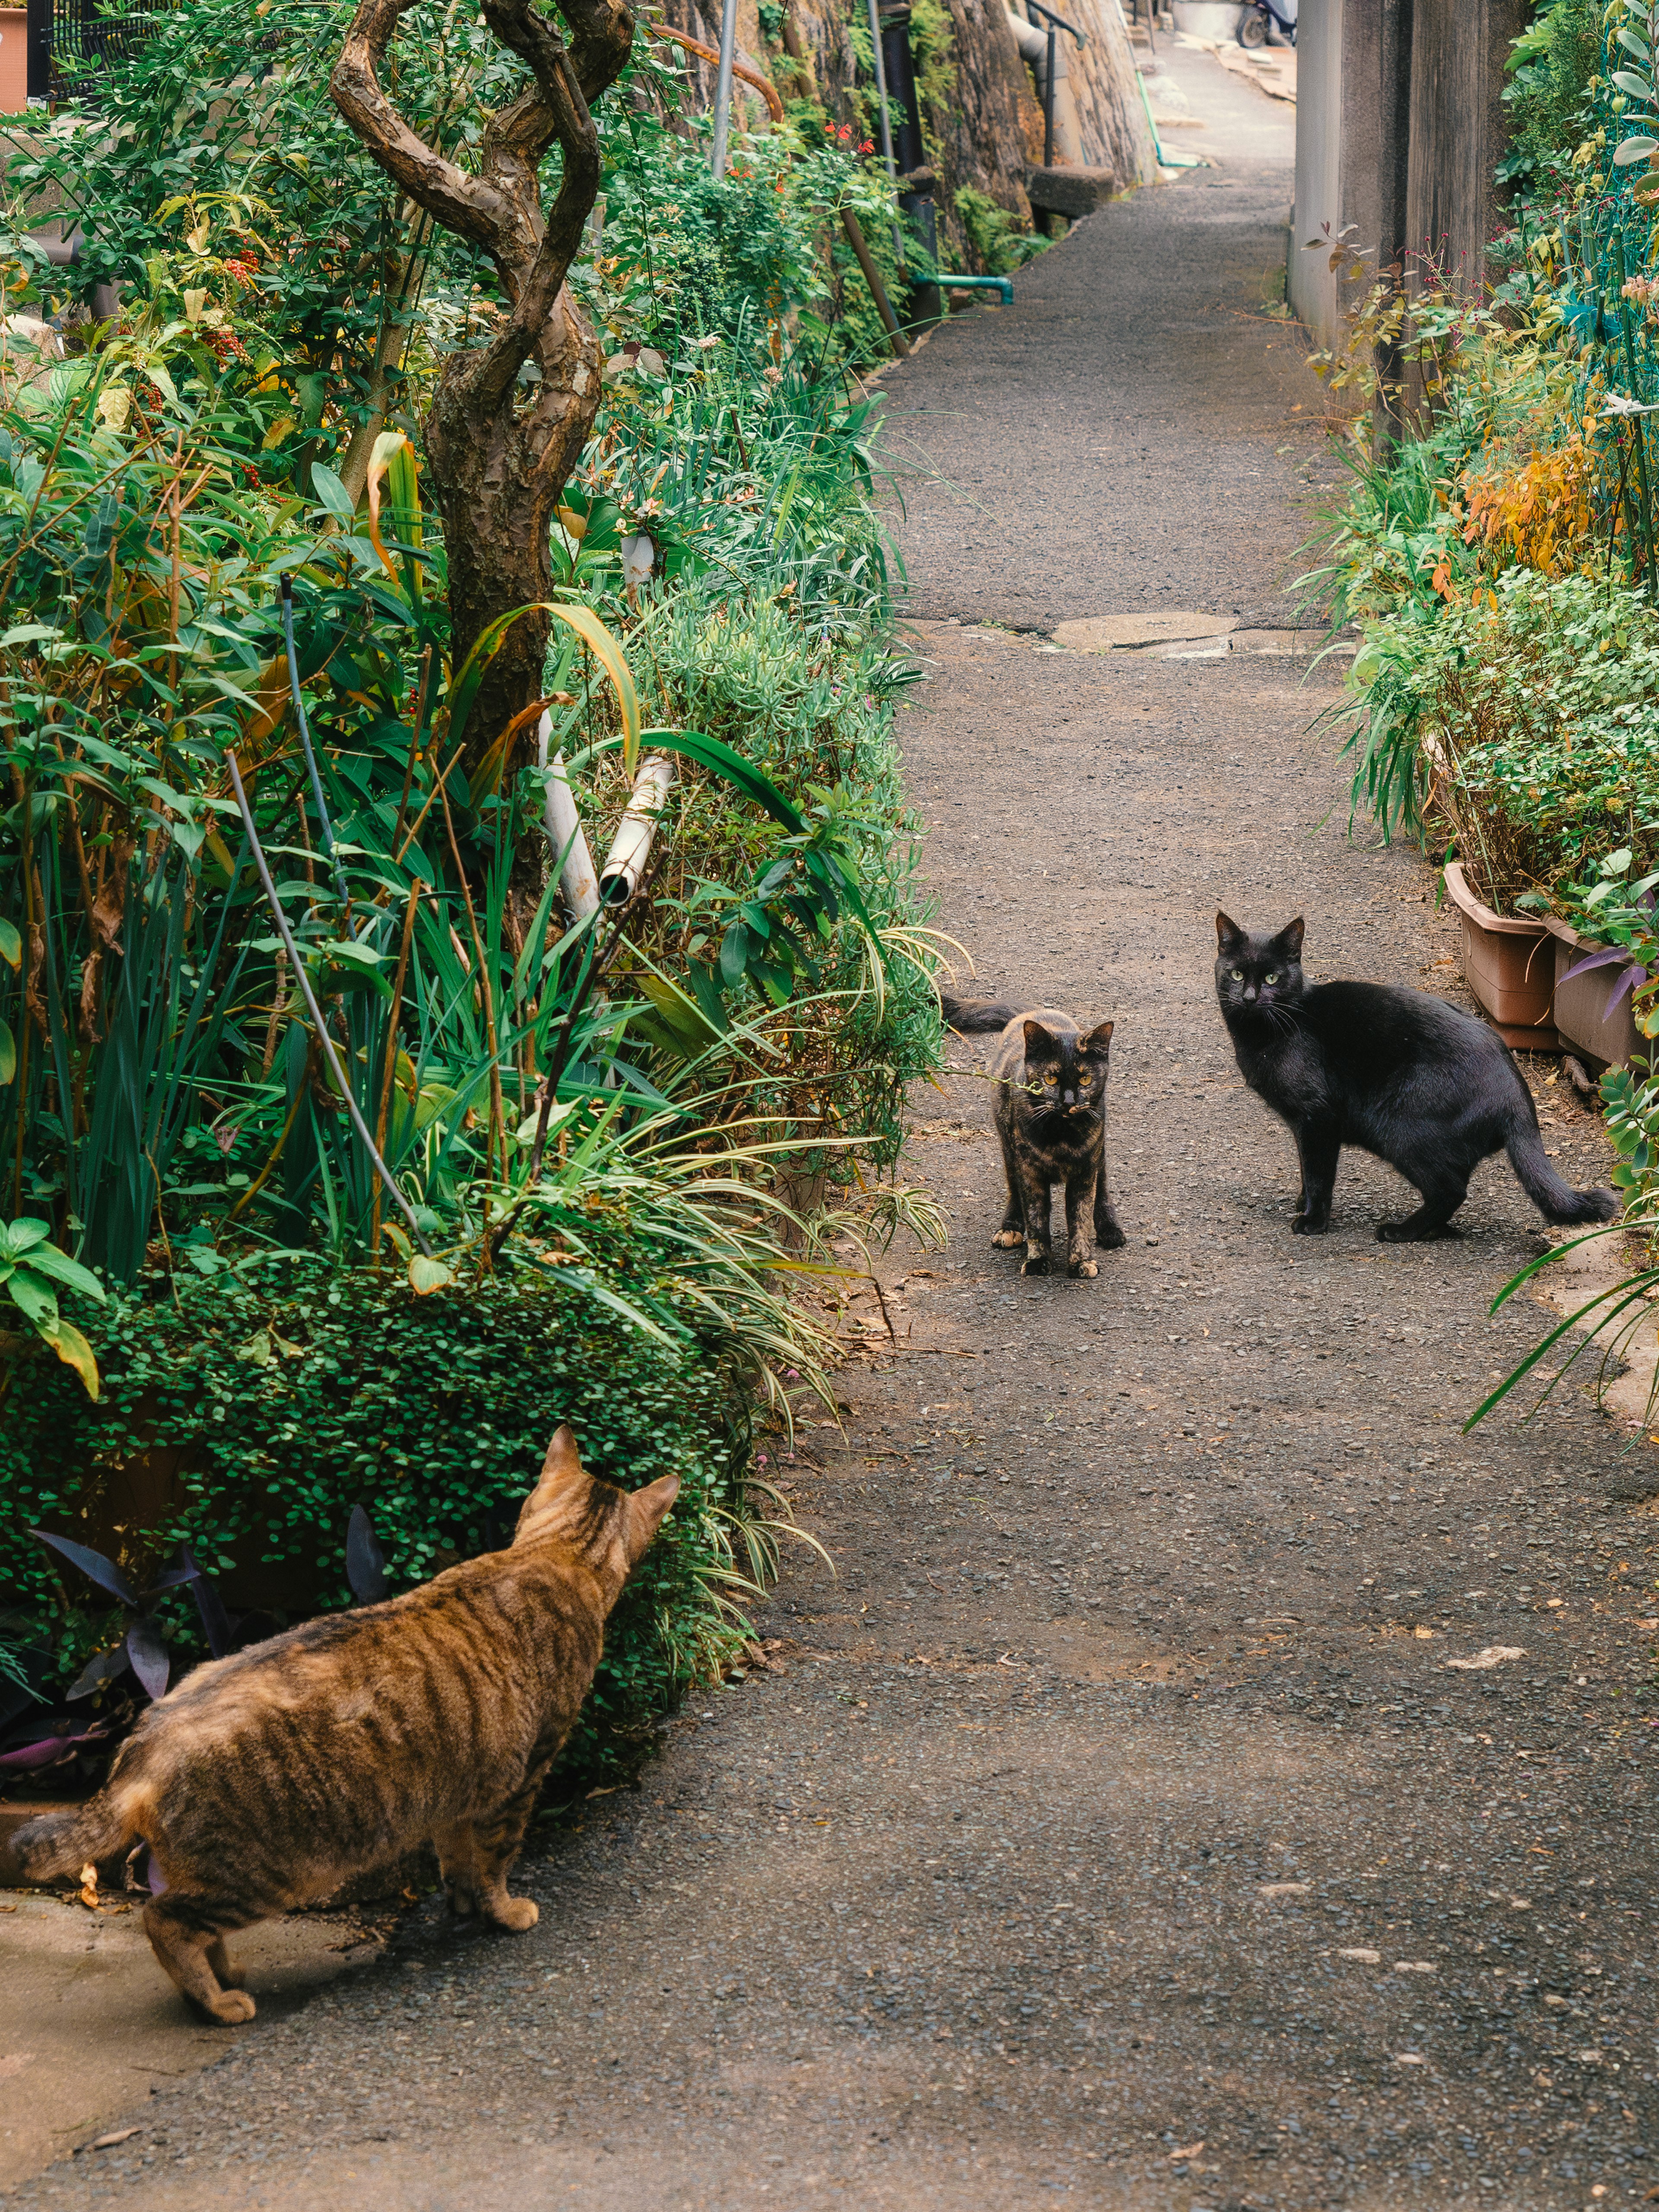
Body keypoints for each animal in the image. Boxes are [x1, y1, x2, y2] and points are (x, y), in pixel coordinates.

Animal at [11, 1433, 677, 2026]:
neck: (557, 1553)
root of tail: (142, 1746)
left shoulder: (462, 1791)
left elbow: (457, 1859)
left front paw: (463, 1905)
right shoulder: (521, 1780)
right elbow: (495, 1861)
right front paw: (505, 1913)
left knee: (183, 1920)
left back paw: (225, 1977)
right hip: (270, 1873)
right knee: (164, 1921)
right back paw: (218, 2004)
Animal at [947, 991, 1132, 1274]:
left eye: (1085, 1080)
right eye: (1051, 1079)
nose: (1068, 1102)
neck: (1062, 1136)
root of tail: (1032, 1013)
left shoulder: (1084, 1172)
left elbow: (1080, 1218)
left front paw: (1081, 1261)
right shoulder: (1030, 1173)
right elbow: (1036, 1218)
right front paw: (1038, 1260)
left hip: (1098, 1153)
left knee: (1102, 1187)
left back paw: (1110, 1229)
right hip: (1008, 1148)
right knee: (1014, 1190)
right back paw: (1010, 1228)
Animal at [1212, 907, 1619, 1239]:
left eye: (1272, 979)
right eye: (1236, 974)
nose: (1249, 998)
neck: (1265, 1033)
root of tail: (1518, 1093)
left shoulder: (1317, 1118)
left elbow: (1318, 1174)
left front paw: (1313, 1221)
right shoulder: (1303, 1126)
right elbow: (1304, 1166)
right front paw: (1302, 1203)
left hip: (1399, 1129)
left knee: (1451, 1190)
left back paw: (1401, 1231)